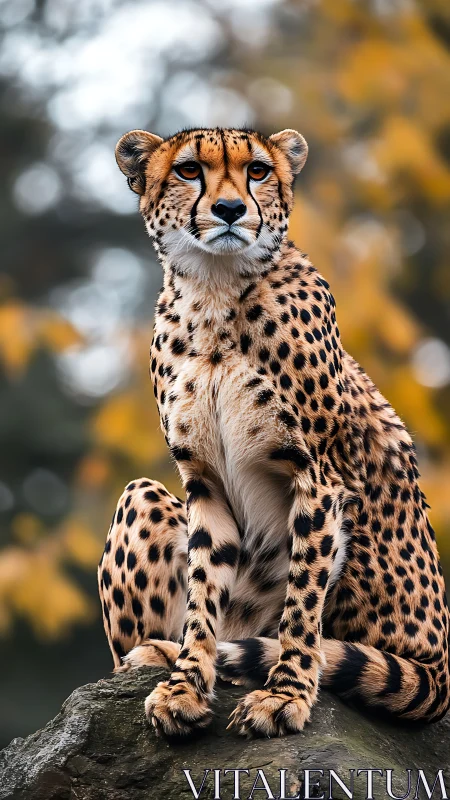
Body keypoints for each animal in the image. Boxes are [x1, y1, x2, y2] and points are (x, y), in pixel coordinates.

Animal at [98, 125, 450, 739]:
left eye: (258, 171)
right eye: (189, 170)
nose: (231, 209)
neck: (213, 292)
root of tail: (441, 661)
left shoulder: (318, 477)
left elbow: (302, 601)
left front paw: (285, 694)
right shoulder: (204, 480)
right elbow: (203, 591)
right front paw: (187, 683)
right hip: (141, 497)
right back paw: (159, 653)